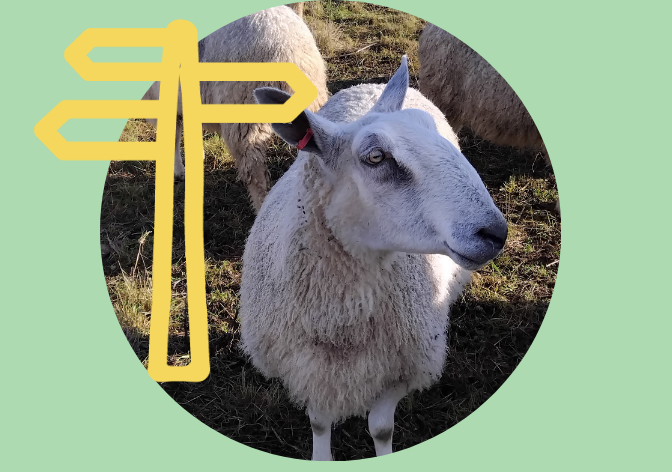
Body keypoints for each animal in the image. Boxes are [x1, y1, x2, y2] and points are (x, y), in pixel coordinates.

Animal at [142, 5, 328, 211]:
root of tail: (288, 51)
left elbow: (173, 136)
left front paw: (177, 171)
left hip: (244, 115)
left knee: (254, 171)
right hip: (312, 103)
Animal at [239, 57, 508, 460]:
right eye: (376, 157)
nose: (495, 232)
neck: (341, 325)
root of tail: (372, 87)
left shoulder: (400, 367)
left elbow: (381, 428)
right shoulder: (308, 368)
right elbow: (319, 423)